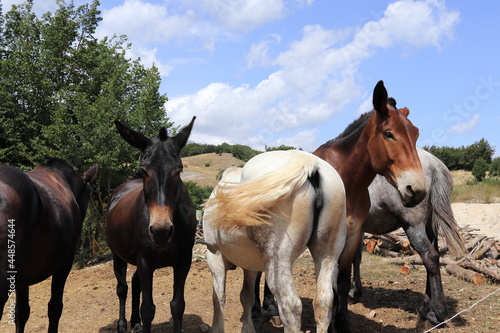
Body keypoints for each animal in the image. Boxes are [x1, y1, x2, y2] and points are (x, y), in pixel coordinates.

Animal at [350, 148, 466, 324]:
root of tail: (434, 164)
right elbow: (356, 258)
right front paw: (355, 291)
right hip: (429, 225)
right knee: (433, 256)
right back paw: (426, 306)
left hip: (413, 226)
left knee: (430, 256)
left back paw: (436, 311)